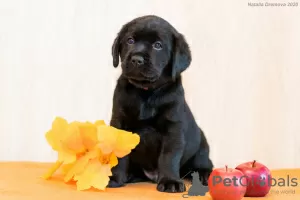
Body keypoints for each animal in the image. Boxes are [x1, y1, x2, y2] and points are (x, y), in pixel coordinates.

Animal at [108, 14, 213, 193]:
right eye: (130, 40)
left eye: (158, 45)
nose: (136, 59)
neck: (146, 92)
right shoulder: (120, 123)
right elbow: (119, 154)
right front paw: (115, 177)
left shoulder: (173, 129)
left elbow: (169, 156)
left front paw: (170, 181)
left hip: (201, 146)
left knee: (204, 164)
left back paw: (204, 175)